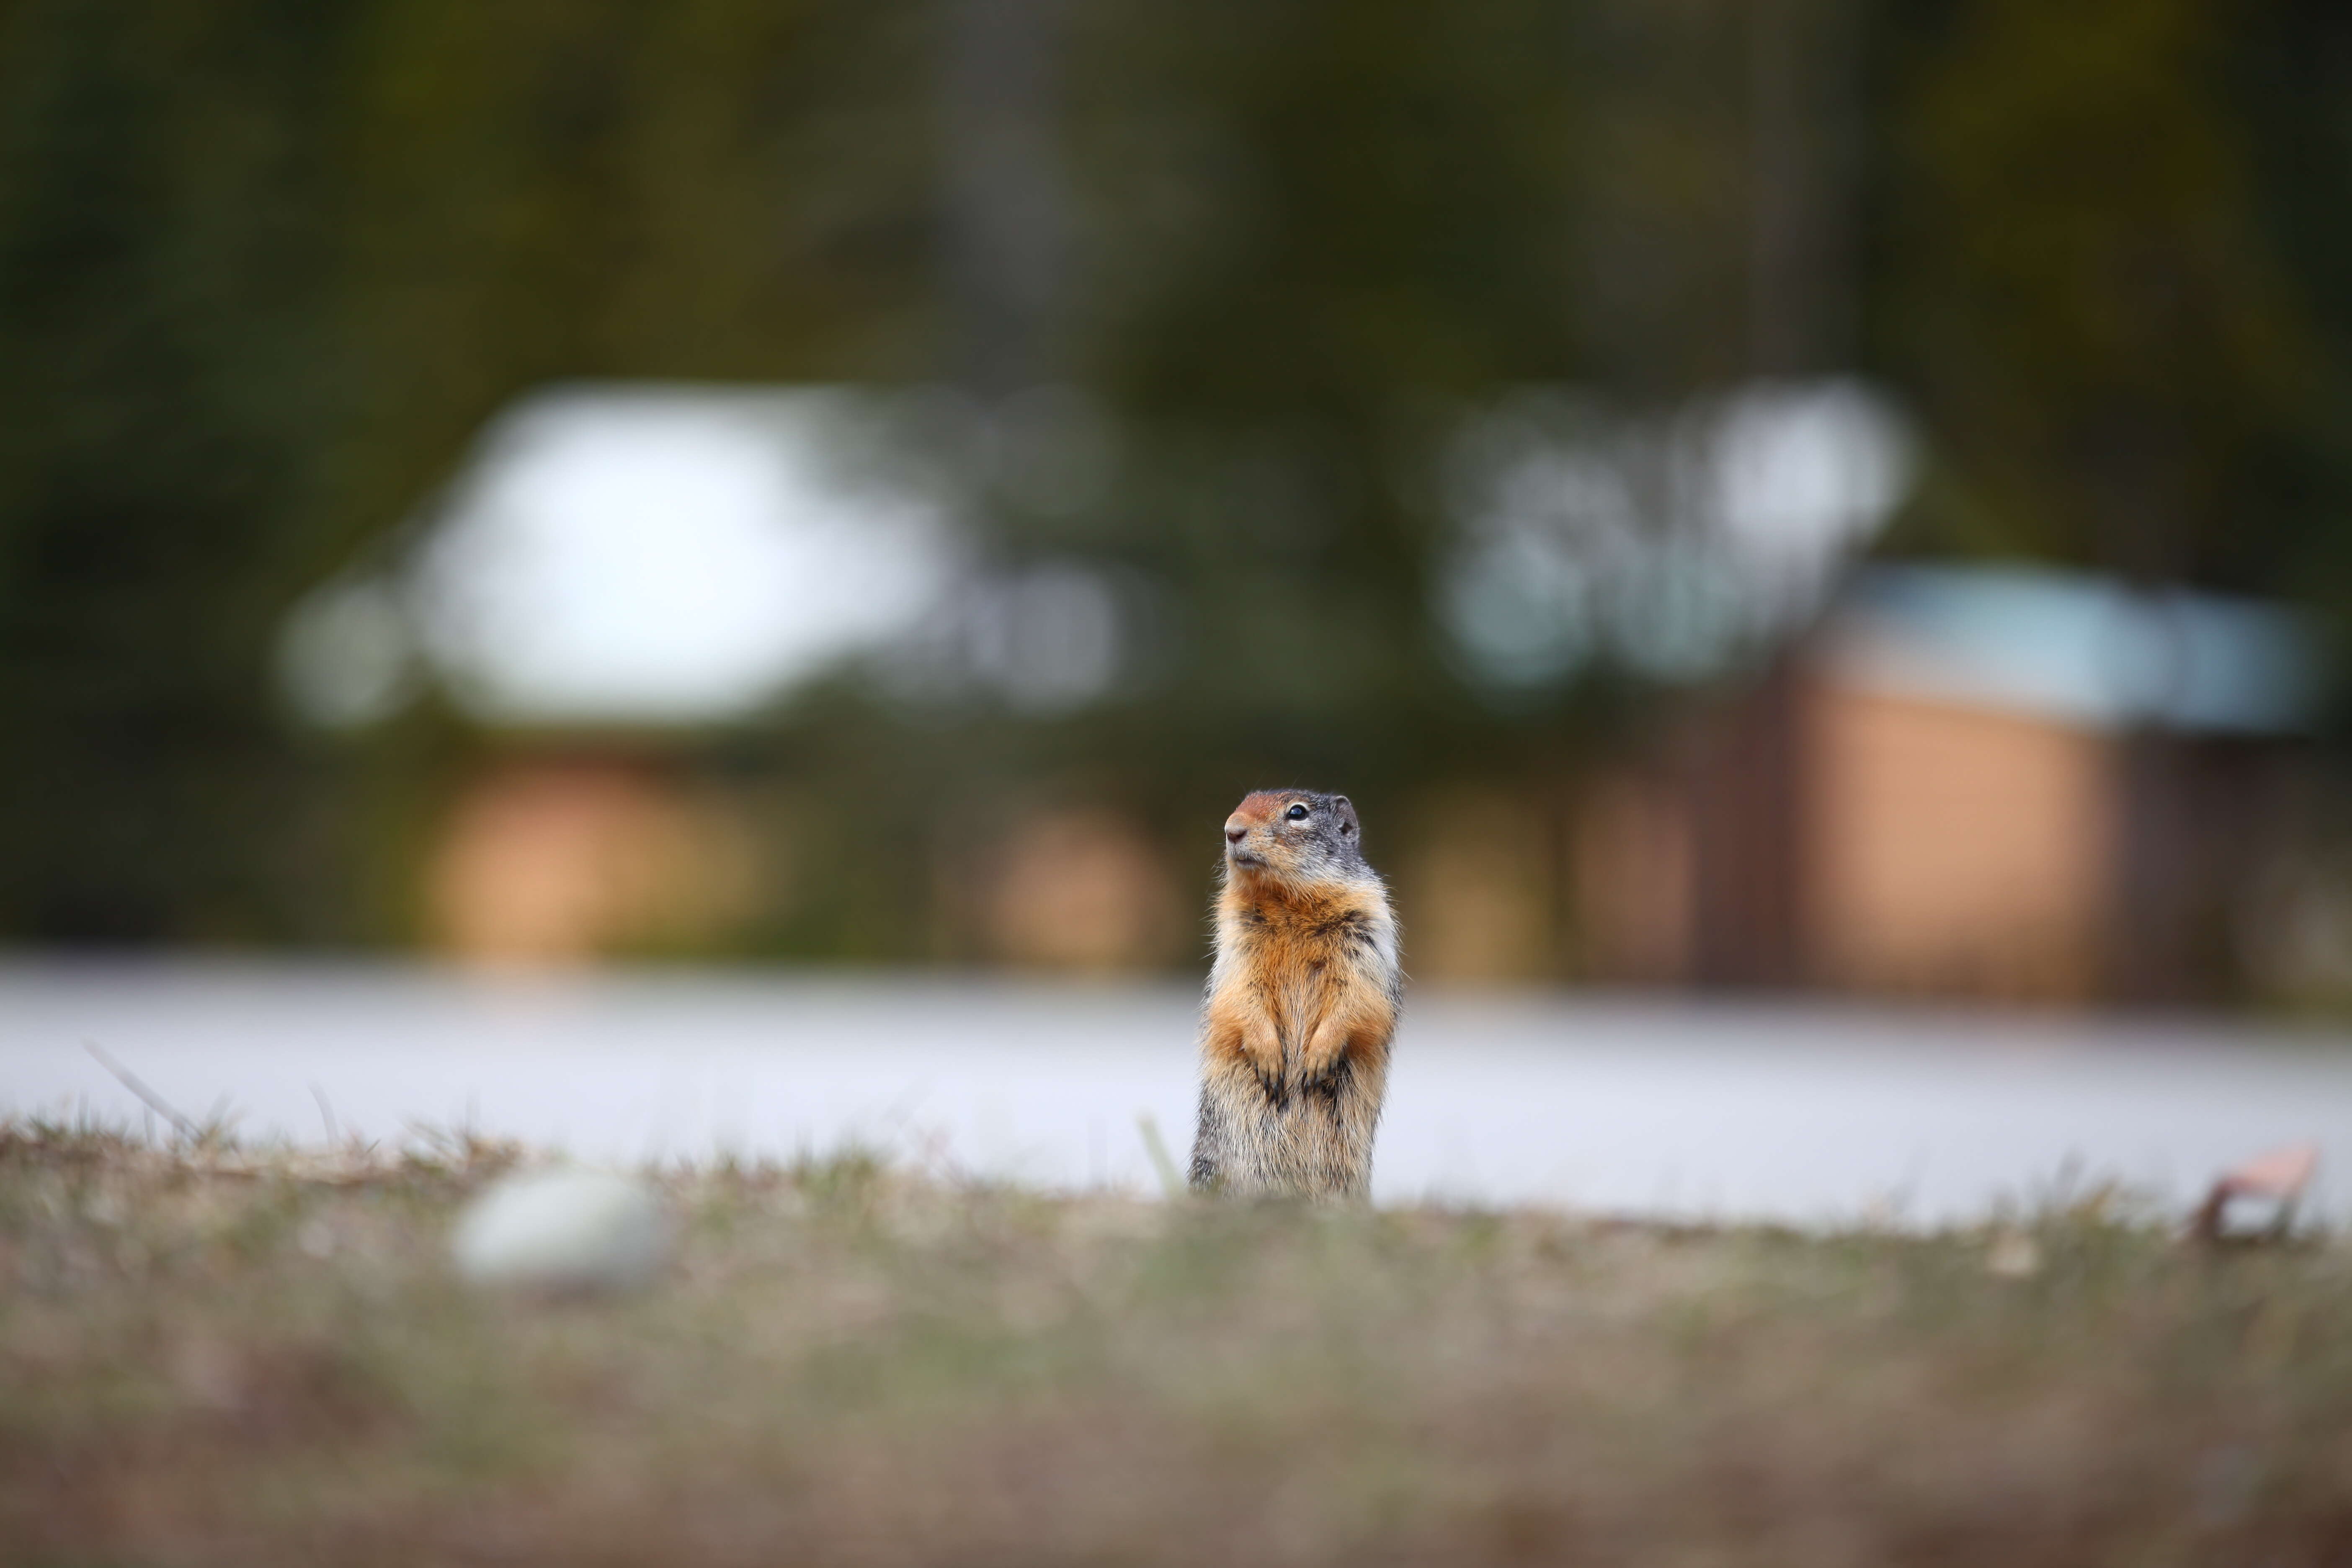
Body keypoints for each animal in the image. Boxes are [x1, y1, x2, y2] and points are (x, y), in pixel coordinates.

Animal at [1194, 785, 1392, 1203]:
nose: (1231, 830)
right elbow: (1242, 993)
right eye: (1243, 801)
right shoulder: (1237, 940)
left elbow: (1355, 998)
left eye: (1297, 813)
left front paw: (1317, 1059)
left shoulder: (1365, 934)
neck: (1288, 901)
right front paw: (1270, 1058)